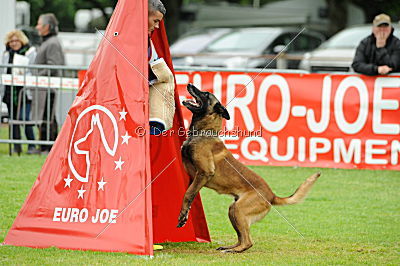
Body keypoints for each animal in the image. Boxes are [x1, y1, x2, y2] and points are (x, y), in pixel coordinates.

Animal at [177, 84, 320, 252]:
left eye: (205, 94)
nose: (189, 85)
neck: (204, 132)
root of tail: (272, 195)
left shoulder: (205, 173)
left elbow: (188, 194)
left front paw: (182, 214)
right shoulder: (195, 177)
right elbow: (190, 193)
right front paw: (185, 215)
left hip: (238, 209)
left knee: (247, 242)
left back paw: (232, 250)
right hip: (233, 209)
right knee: (242, 238)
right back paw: (228, 247)